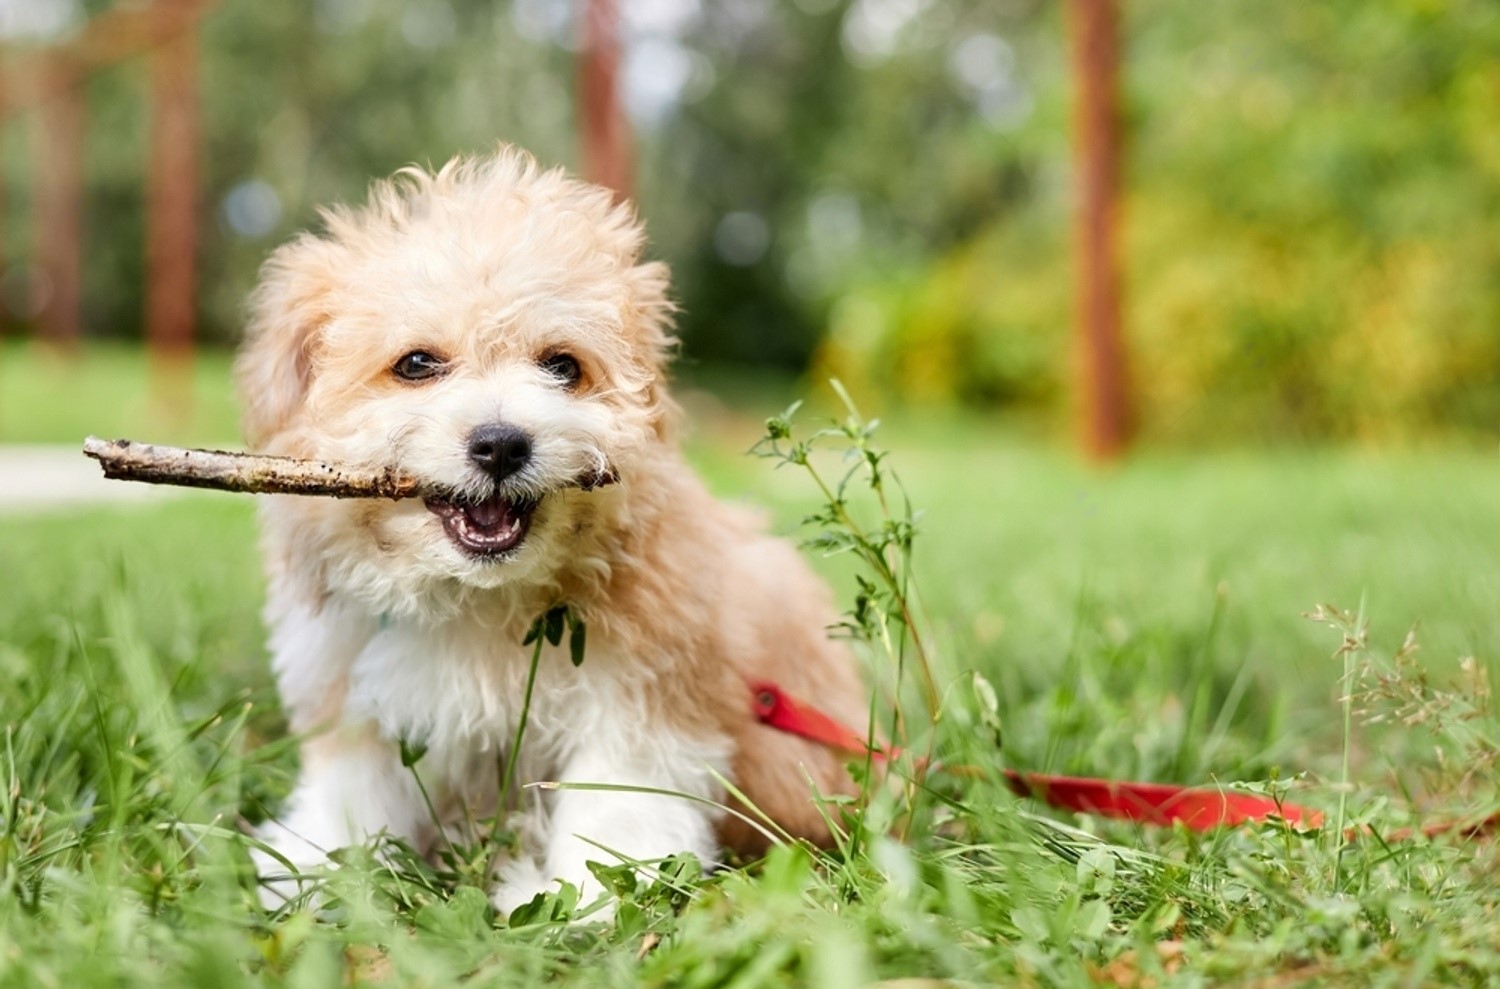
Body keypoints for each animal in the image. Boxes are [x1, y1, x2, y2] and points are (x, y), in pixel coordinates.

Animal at [235, 147, 870, 912]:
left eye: (563, 366)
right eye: (416, 363)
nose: (501, 443)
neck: (479, 598)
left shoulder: (645, 697)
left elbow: (618, 802)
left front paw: (593, 896)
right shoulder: (352, 687)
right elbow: (352, 789)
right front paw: (315, 869)